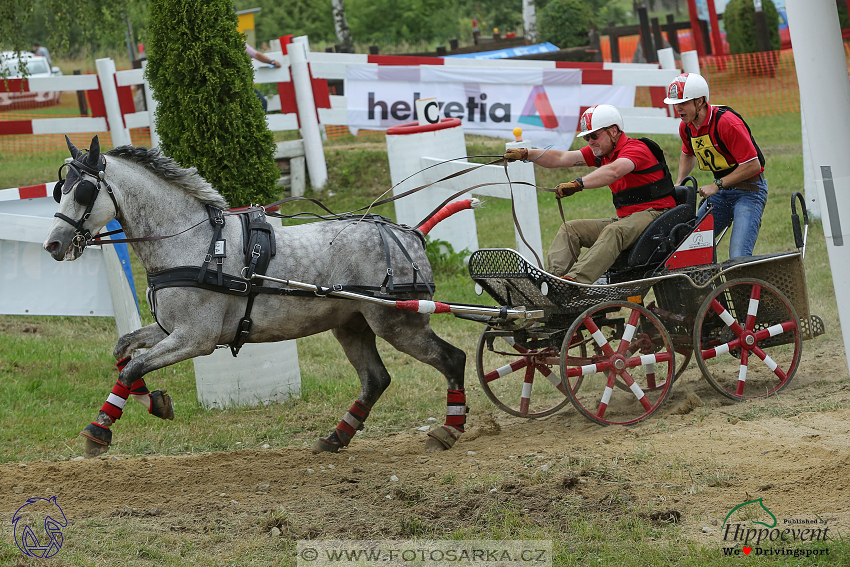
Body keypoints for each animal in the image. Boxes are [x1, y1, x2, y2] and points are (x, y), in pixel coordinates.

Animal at [44, 135, 468, 460]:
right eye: (59, 190)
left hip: (398, 323)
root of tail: (411, 234)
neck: (195, 243)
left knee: (452, 359)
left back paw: (450, 429)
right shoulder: (170, 330)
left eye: (84, 190)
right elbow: (124, 352)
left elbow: (133, 368)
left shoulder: (195, 338)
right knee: (376, 379)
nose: (53, 245)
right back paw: (336, 437)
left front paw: (100, 429)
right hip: (352, 325)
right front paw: (154, 401)